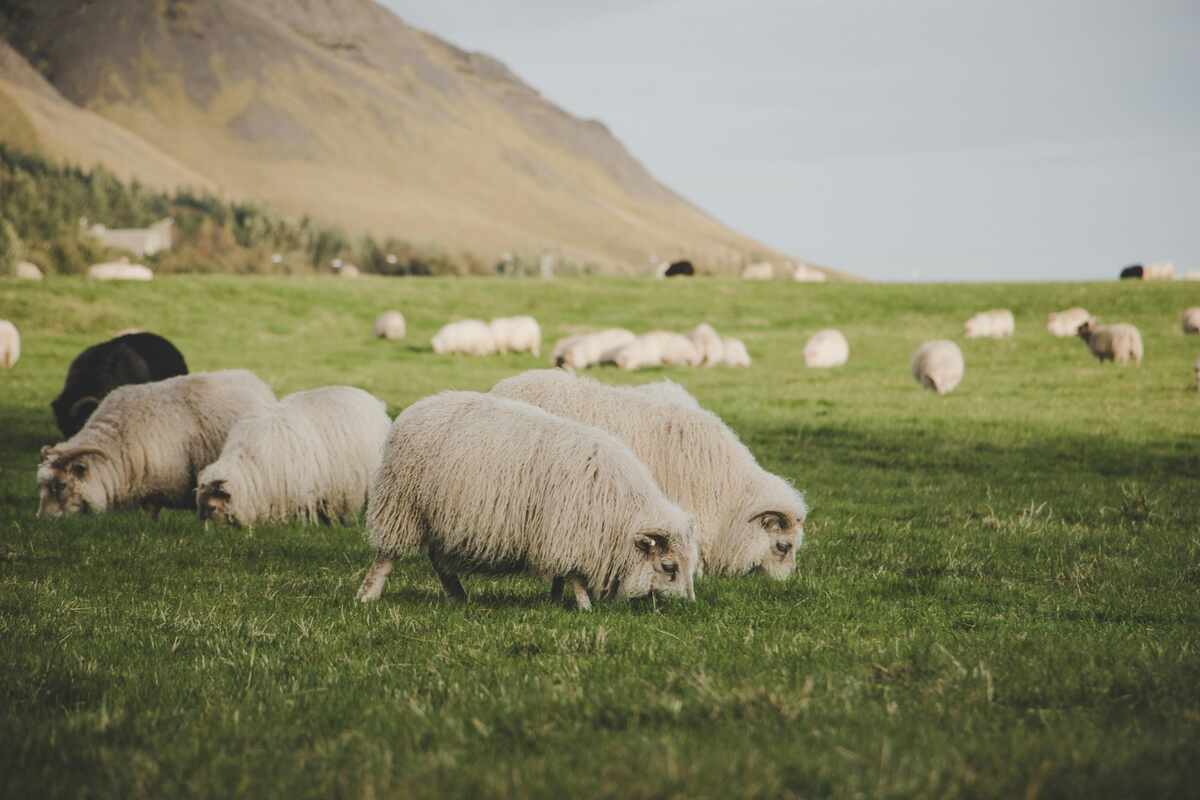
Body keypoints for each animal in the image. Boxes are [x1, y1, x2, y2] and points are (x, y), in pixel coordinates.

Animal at [37, 370, 275, 518]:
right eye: (41, 485)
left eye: (61, 485)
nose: (43, 520)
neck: (118, 439)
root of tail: (255, 380)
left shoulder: (160, 482)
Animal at [357, 391, 699, 609]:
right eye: (668, 566)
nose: (688, 607)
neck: (620, 509)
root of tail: (415, 408)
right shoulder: (568, 531)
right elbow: (575, 575)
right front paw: (585, 606)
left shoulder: (559, 534)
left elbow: (562, 573)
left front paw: (555, 599)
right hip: (402, 504)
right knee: (387, 555)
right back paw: (368, 595)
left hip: (440, 516)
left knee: (439, 561)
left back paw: (458, 596)